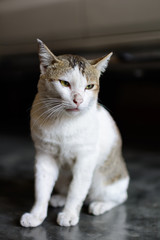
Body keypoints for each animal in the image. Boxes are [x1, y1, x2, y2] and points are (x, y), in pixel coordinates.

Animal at [20, 39, 130, 227]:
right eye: (65, 83)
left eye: (89, 86)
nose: (78, 100)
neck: (64, 121)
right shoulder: (44, 155)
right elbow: (41, 189)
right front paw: (36, 215)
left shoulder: (85, 159)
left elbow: (76, 190)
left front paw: (69, 214)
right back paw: (59, 198)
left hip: (103, 181)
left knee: (120, 197)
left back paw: (100, 205)